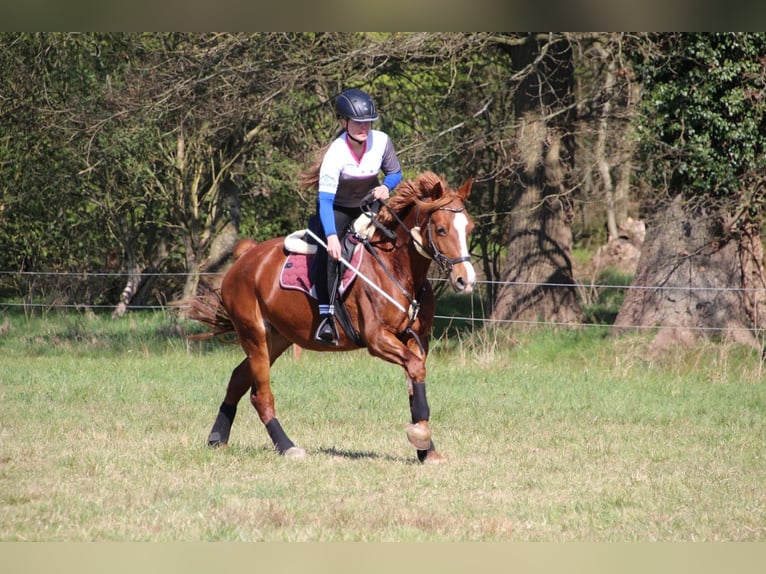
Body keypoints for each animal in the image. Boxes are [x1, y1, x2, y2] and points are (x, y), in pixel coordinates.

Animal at [185, 171, 476, 463]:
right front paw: (421, 436)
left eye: (469, 228)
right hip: (253, 335)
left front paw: (426, 448)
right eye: (441, 229)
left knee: (238, 380)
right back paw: (286, 445)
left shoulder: (416, 339)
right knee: (261, 396)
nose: (466, 279)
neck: (398, 269)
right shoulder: (377, 339)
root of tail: (246, 257)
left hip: (276, 339)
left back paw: (217, 439)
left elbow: (414, 381)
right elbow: (415, 369)